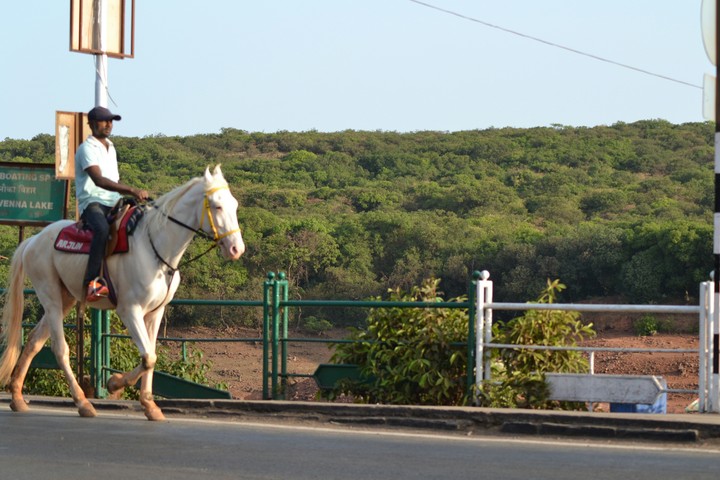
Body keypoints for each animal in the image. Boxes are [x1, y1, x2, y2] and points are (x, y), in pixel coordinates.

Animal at [0, 165, 245, 421]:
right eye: (217, 206)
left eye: (234, 204)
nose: (236, 249)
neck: (155, 249)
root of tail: (32, 241)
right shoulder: (130, 310)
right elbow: (148, 357)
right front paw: (115, 383)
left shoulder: (155, 313)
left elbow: (151, 354)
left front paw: (149, 405)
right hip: (51, 297)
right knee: (60, 349)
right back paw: (82, 403)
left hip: (65, 298)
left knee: (34, 341)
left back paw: (17, 397)